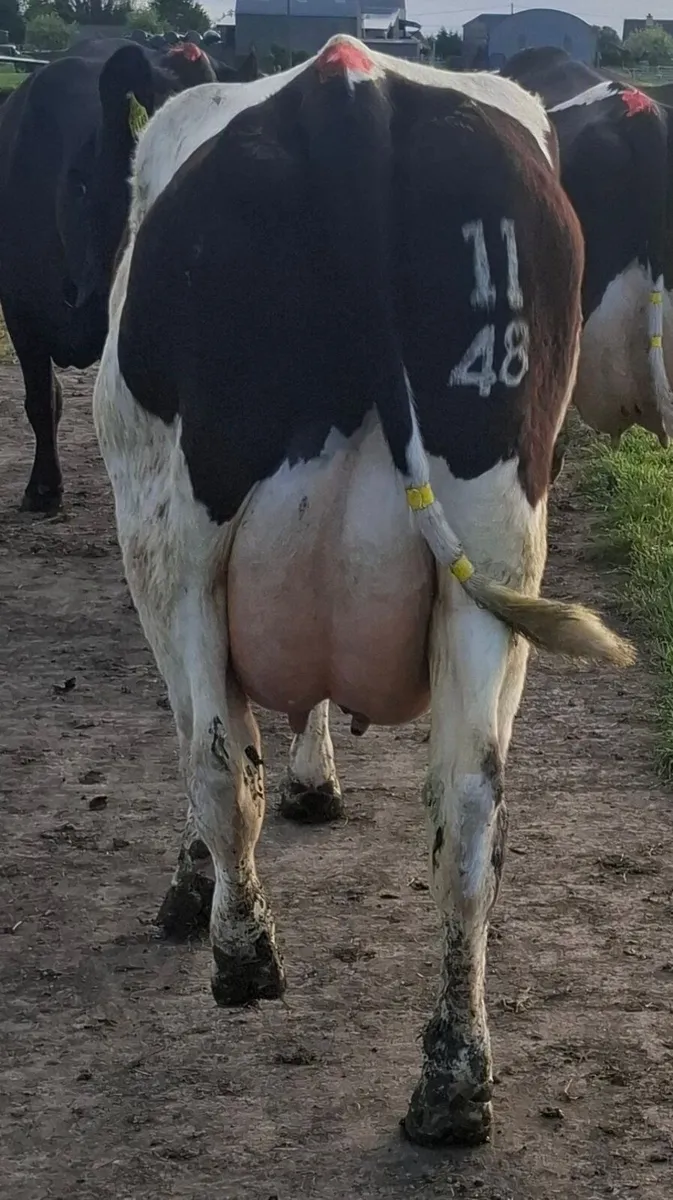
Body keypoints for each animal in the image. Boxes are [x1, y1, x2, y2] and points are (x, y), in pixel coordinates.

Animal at [92, 36, 632, 1147]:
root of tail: (350, 85)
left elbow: (211, 741)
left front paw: (197, 881)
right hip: (496, 540)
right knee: (469, 806)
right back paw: (453, 1083)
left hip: (170, 531)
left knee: (217, 757)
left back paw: (243, 954)